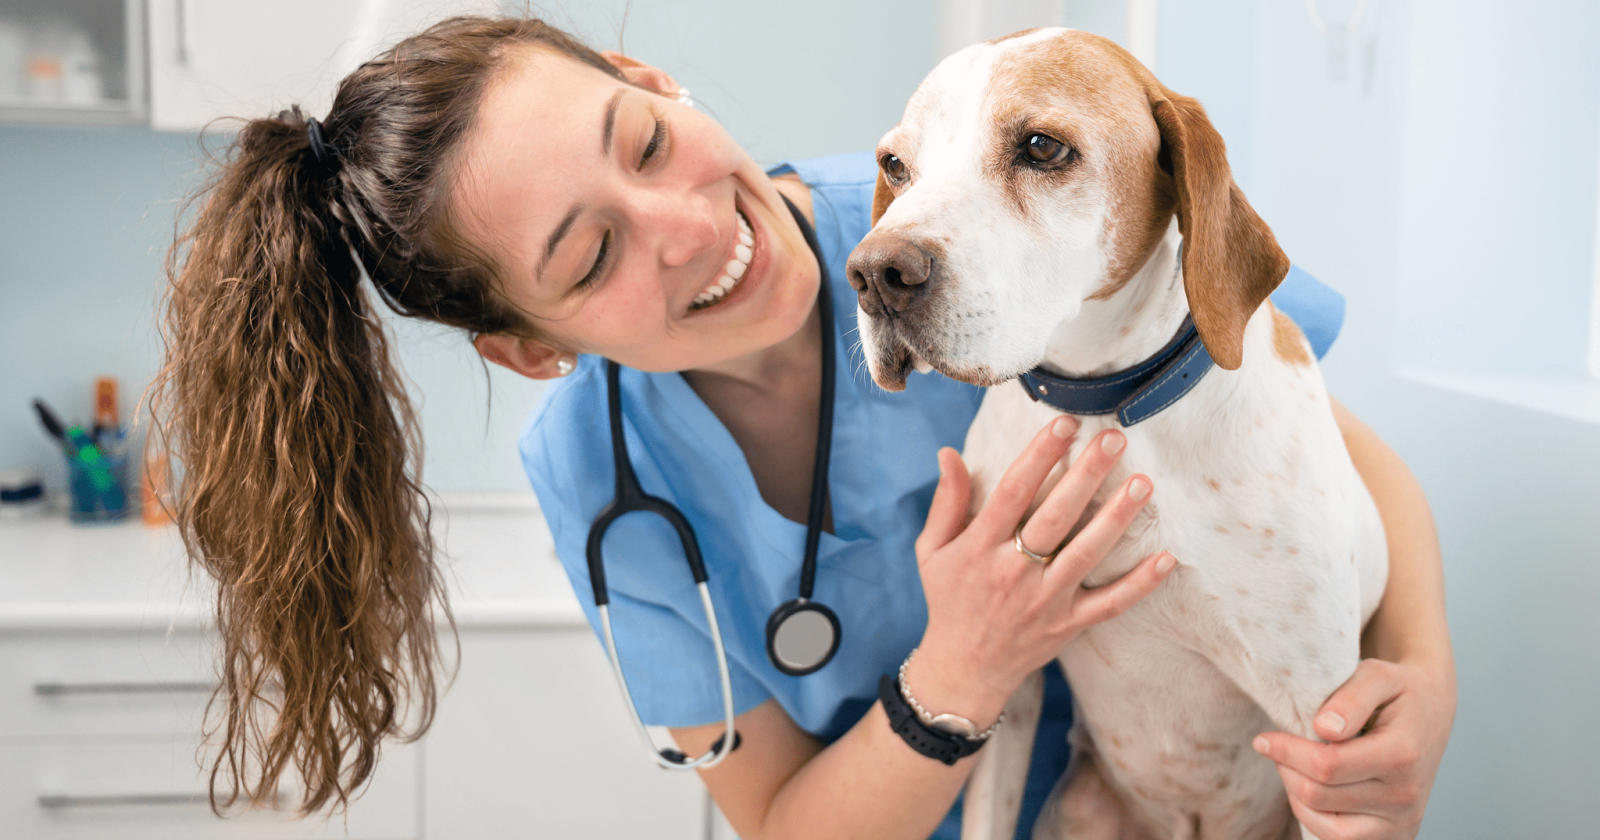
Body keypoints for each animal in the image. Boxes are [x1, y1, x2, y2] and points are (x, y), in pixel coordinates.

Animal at [851, 26, 1388, 838]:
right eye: (894, 165)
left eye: (1041, 147)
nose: (875, 274)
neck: (1104, 409)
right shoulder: (1006, 680)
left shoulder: (1323, 736)